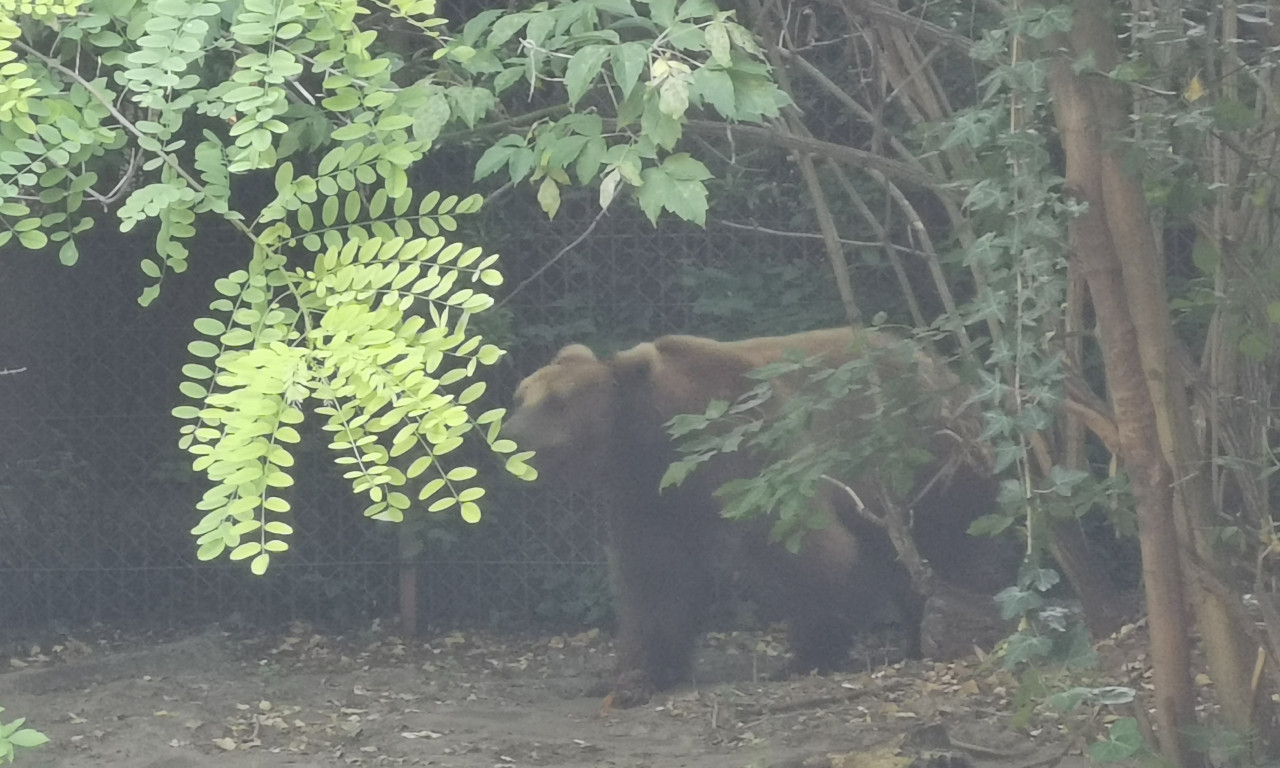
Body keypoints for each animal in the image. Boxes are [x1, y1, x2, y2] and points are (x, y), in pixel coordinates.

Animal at [499, 326, 1008, 706]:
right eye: (521, 395)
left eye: (557, 402)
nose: (509, 436)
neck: (659, 439)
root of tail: (941, 366)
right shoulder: (651, 498)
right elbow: (655, 580)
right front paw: (632, 675)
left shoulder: (754, 453)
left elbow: (804, 549)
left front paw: (806, 654)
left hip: (925, 457)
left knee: (958, 537)